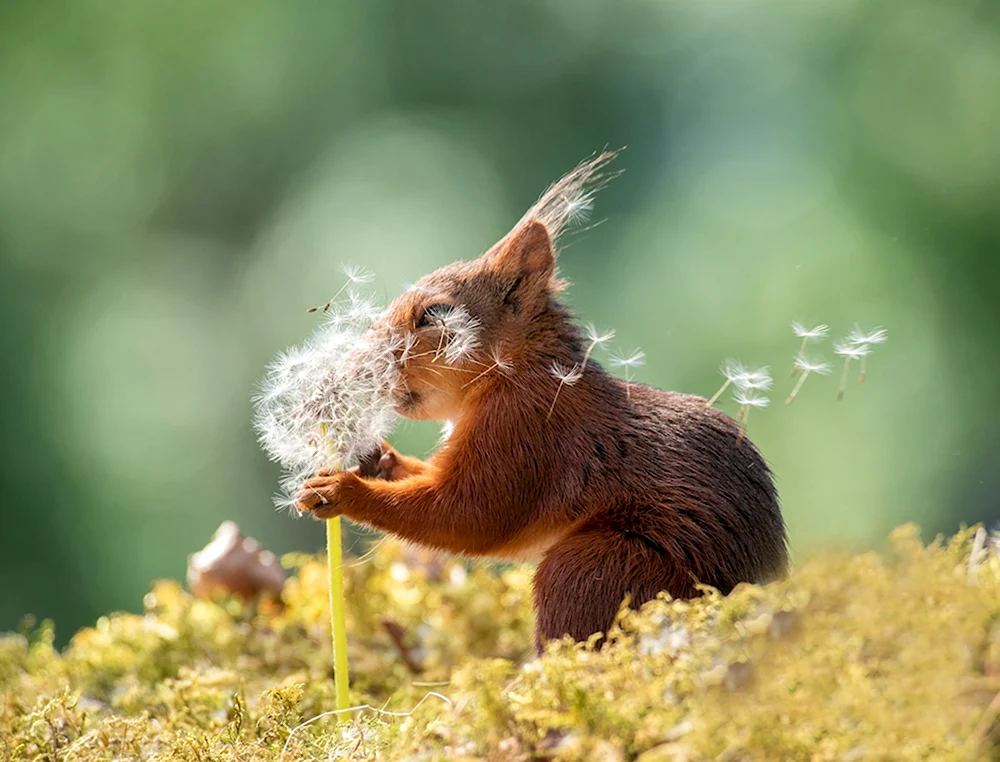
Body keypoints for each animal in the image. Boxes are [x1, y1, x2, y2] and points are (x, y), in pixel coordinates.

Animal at [296, 151, 788, 652]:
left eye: (434, 314)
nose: (358, 364)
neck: (515, 373)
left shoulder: (527, 431)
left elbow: (468, 514)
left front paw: (342, 490)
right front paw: (378, 459)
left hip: (598, 566)